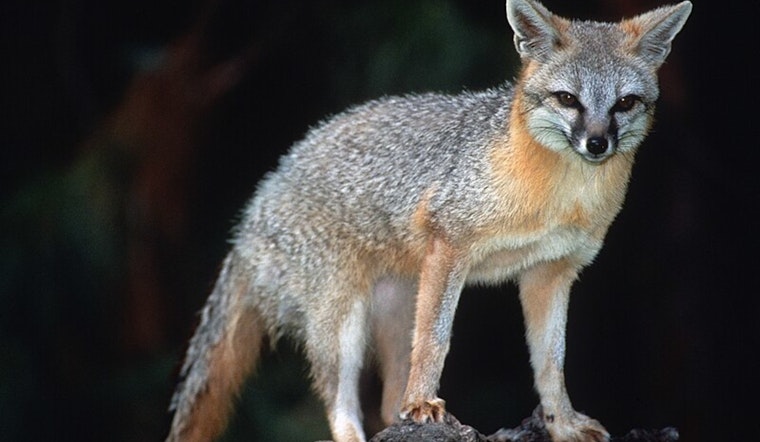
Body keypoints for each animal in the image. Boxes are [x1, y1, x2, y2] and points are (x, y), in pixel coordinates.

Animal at [166, 0, 692, 441]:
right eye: (568, 99)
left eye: (624, 103)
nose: (597, 144)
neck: (560, 197)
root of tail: (253, 210)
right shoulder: (449, 245)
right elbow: (437, 341)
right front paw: (423, 402)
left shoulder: (551, 272)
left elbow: (551, 363)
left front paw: (561, 423)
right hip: (342, 323)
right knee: (340, 402)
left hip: (398, 309)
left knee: (385, 402)